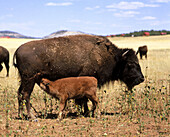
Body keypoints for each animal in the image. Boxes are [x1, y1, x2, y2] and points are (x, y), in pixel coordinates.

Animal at [12, 34, 144, 119]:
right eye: (130, 64)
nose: (141, 78)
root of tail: (17, 50)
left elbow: (83, 99)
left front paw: (85, 112)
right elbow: (84, 100)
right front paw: (86, 112)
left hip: (24, 80)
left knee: (19, 93)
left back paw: (21, 115)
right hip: (29, 79)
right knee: (26, 94)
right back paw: (32, 116)